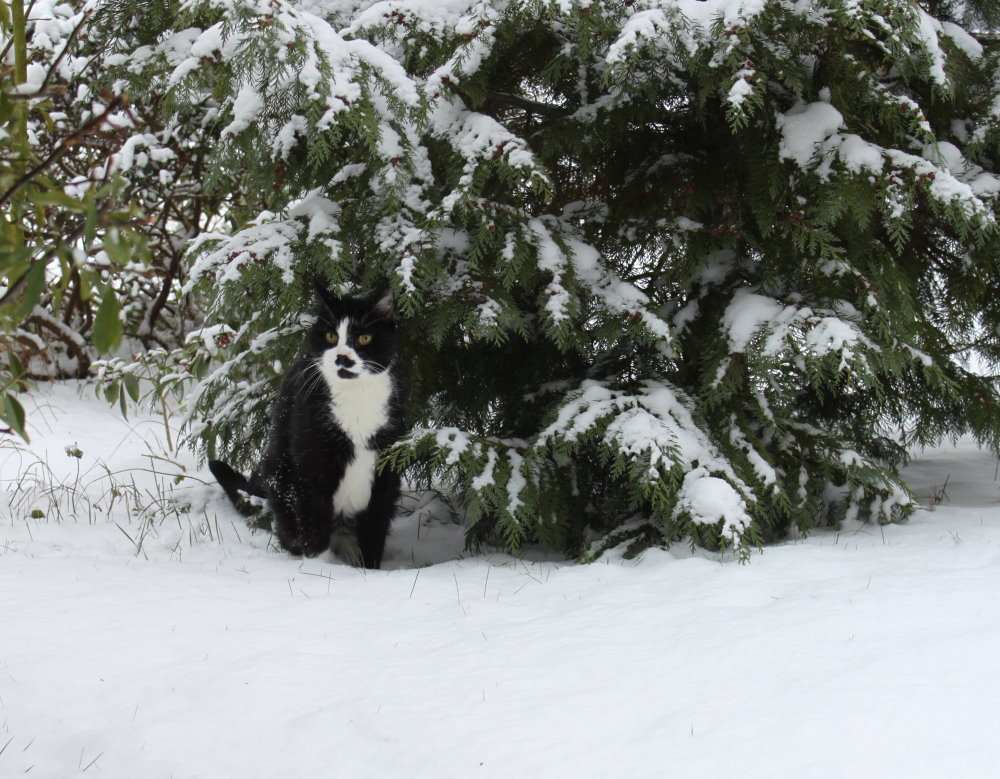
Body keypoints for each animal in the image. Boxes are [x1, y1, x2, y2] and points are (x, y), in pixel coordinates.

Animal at [209, 290, 404, 568]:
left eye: (364, 338)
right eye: (331, 336)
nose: (342, 357)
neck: (355, 399)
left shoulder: (386, 471)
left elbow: (373, 533)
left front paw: (369, 573)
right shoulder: (311, 469)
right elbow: (314, 524)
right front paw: (321, 571)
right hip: (280, 474)